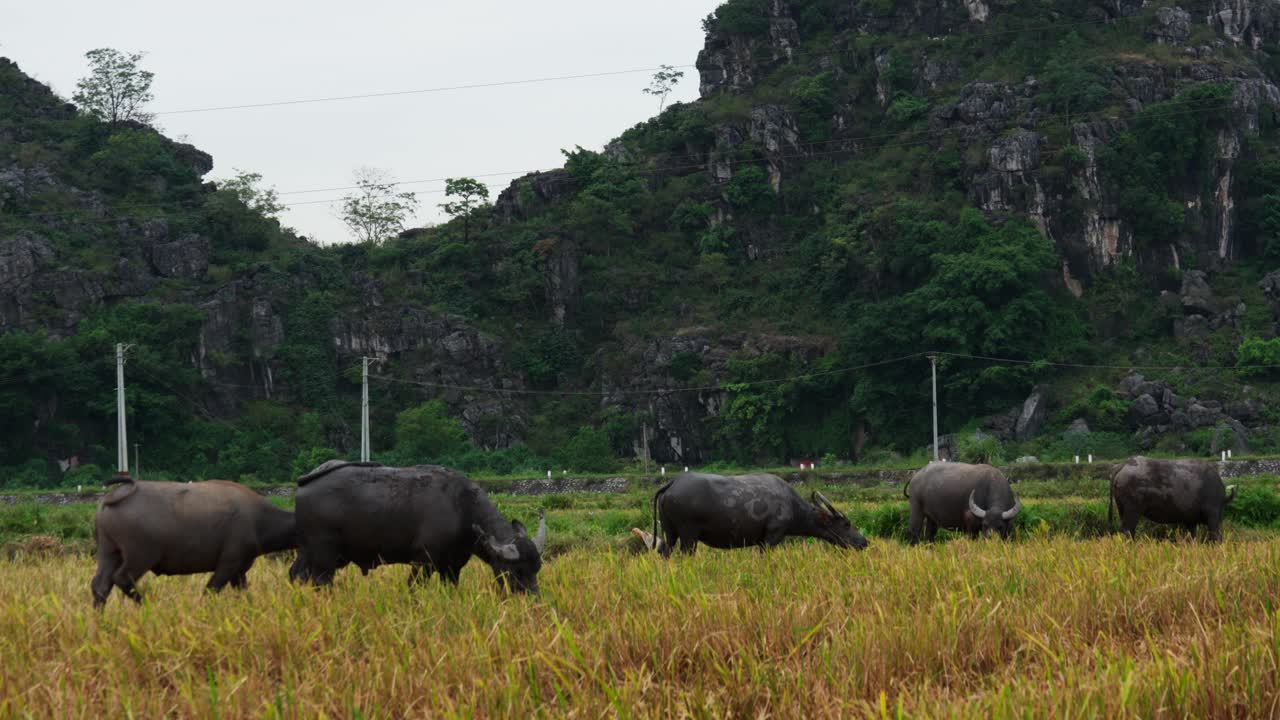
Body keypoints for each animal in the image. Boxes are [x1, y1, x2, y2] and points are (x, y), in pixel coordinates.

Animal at [91, 477, 296, 607]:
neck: (260, 520)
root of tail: (114, 495)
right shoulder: (229, 563)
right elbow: (210, 591)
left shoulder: (239, 571)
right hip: (140, 555)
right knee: (122, 578)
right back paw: (149, 606)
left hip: (109, 552)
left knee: (100, 586)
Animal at [289, 461, 546, 594]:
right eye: (516, 571)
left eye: (537, 569)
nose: (531, 599)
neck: (461, 508)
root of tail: (307, 481)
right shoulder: (423, 561)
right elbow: (414, 587)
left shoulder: (452, 567)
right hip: (324, 556)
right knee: (321, 582)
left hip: (308, 552)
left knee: (296, 574)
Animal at [633, 472, 868, 556]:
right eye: (846, 524)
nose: (863, 542)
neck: (791, 504)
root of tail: (672, 483)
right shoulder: (771, 537)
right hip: (688, 535)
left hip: (669, 531)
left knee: (664, 551)